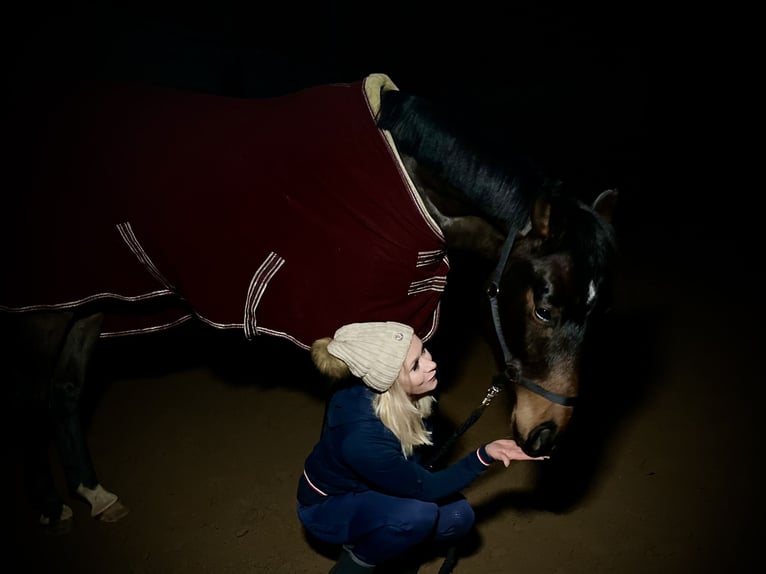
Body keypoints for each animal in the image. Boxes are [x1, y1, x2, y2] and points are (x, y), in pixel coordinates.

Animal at [1, 73, 616, 536]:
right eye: (543, 308)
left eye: (594, 313)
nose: (546, 437)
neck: (403, 181)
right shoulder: (347, 334)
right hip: (45, 312)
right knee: (32, 399)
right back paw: (50, 506)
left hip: (92, 302)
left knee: (66, 391)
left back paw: (94, 493)